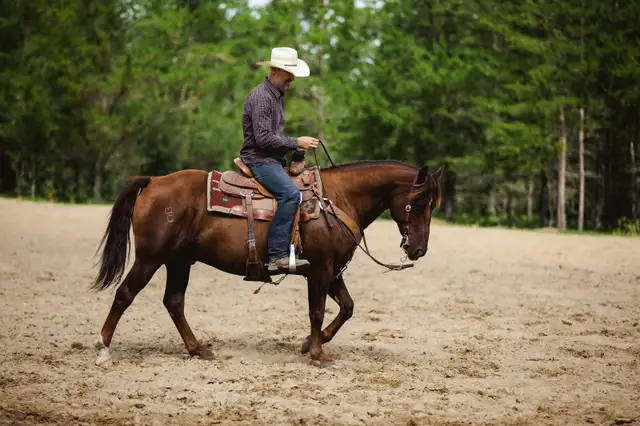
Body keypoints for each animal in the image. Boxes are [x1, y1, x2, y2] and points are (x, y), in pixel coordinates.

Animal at [90, 158, 444, 367]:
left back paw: (198, 349)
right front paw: (318, 353)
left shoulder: (333, 271)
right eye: (417, 203)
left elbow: (347, 307)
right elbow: (317, 312)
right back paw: (104, 348)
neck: (338, 200)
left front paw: (308, 343)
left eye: (432, 205)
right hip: (150, 259)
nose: (419, 249)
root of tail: (153, 182)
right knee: (125, 295)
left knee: (174, 302)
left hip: (179, 261)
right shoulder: (320, 270)